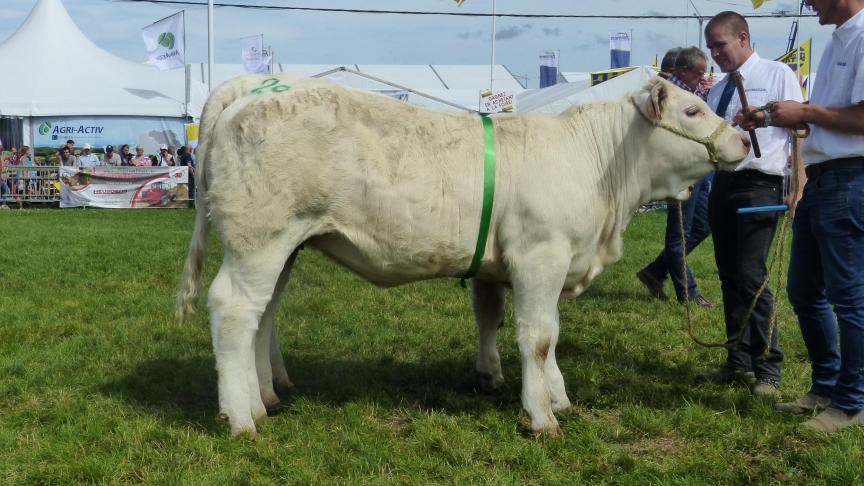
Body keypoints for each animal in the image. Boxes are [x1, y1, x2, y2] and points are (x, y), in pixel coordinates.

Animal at [177, 75, 748, 436]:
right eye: (693, 110)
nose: (744, 139)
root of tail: (249, 91)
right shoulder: (541, 255)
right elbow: (538, 337)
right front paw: (543, 416)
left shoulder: (515, 265)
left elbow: (521, 326)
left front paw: (550, 393)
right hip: (260, 239)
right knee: (235, 311)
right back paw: (241, 418)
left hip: (284, 246)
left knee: (264, 314)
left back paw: (265, 400)